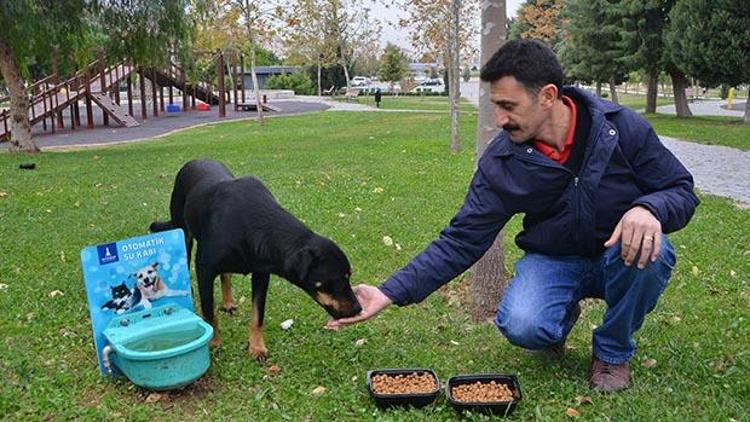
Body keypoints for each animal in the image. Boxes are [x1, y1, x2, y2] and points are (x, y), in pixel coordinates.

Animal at [150, 160, 362, 362]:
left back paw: (228, 302)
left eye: (348, 276)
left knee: (226, 275)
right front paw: (214, 343)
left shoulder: (261, 273)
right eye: (336, 279)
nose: (358, 308)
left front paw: (257, 347)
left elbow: (257, 315)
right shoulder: (204, 269)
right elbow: (209, 312)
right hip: (183, 232)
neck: (253, 226)